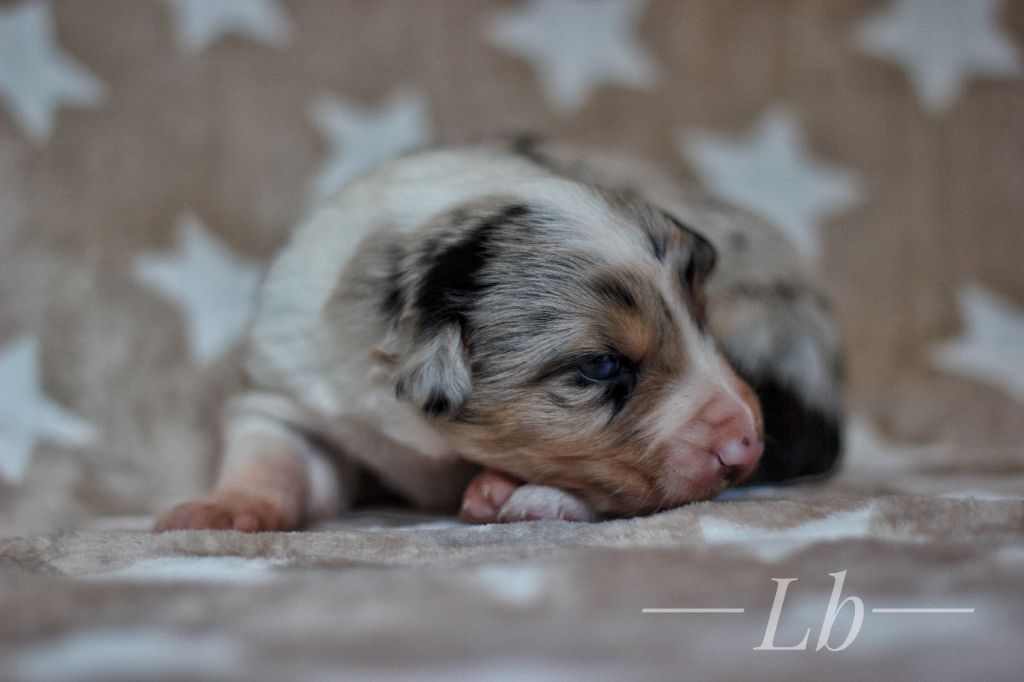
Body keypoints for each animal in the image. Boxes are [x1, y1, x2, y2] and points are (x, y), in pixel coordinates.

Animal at [151, 139, 839, 532]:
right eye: (601, 367)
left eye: (704, 320)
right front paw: (220, 510)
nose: (744, 444)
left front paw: (523, 492)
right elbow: (273, 455)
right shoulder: (293, 390)